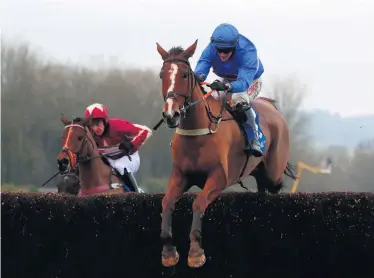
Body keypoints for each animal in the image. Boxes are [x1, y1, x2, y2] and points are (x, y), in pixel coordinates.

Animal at [156, 40, 298, 268]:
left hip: (274, 172)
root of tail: (270, 105)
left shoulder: (219, 176)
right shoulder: (180, 174)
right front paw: (169, 251)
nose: (171, 114)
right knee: (261, 189)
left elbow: (198, 203)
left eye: (185, 75)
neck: (197, 131)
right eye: (162, 75)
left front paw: (195, 252)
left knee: (274, 187)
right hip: (259, 172)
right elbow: (167, 203)